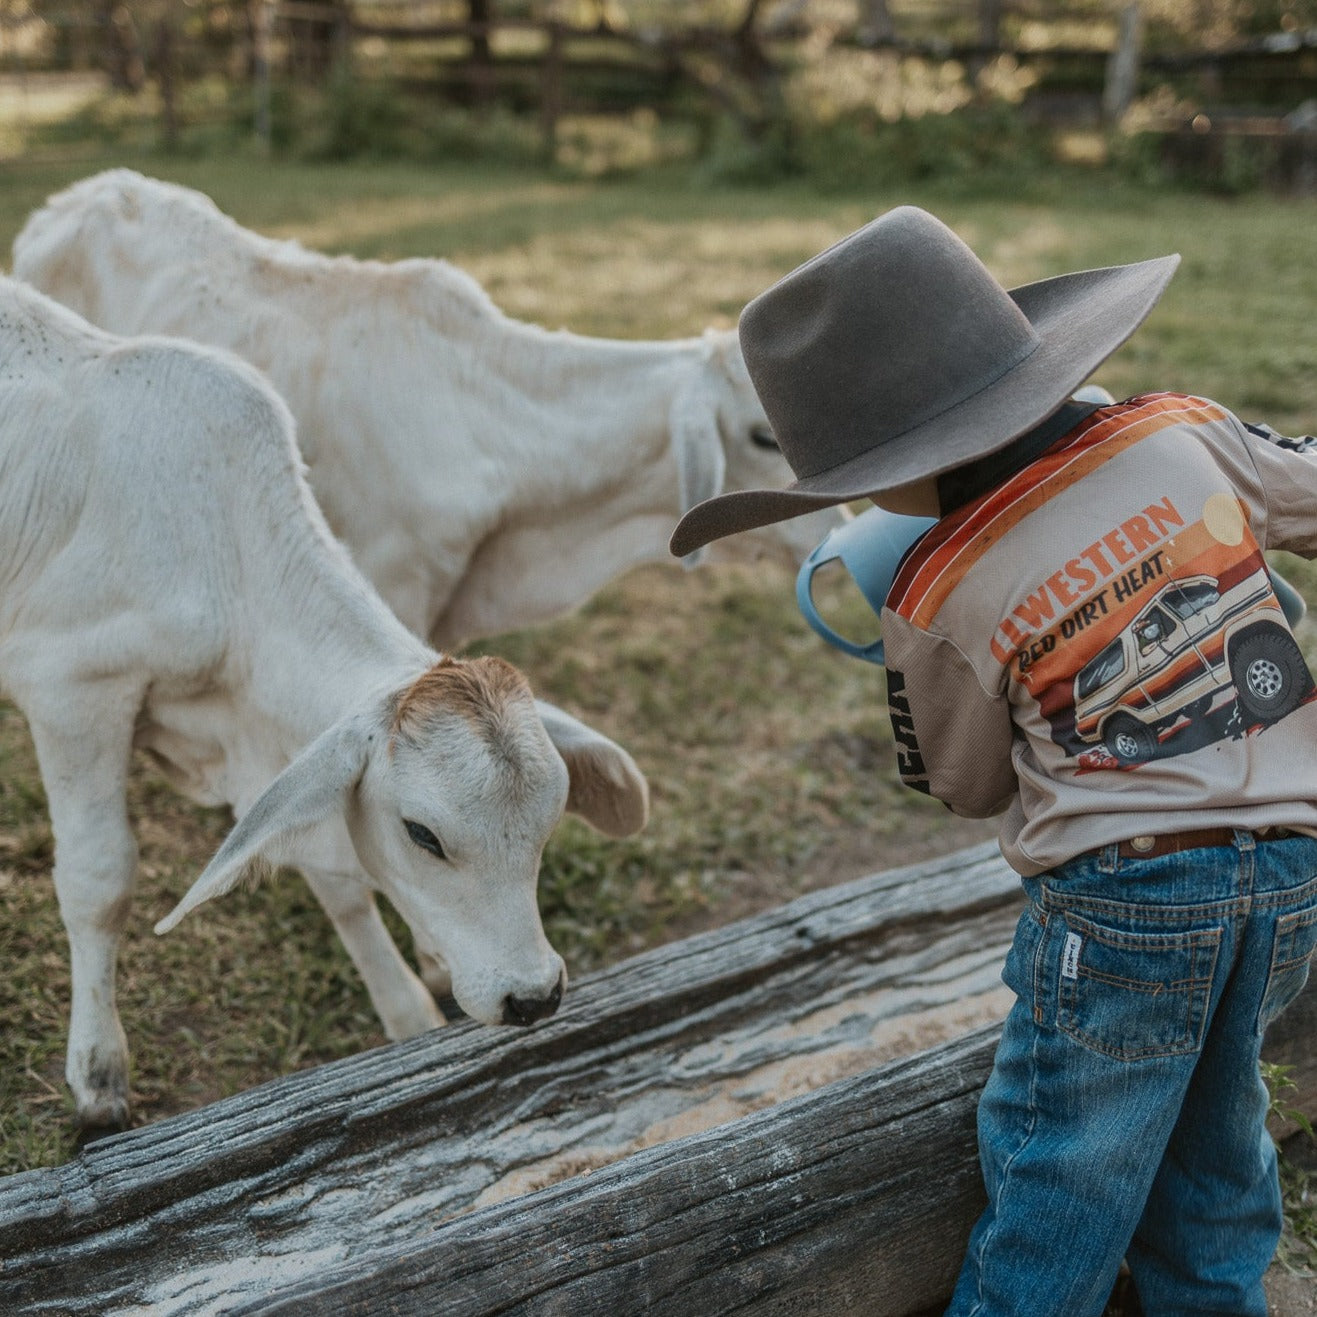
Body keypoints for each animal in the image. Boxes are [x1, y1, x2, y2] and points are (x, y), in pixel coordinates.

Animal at [0, 277, 647, 1132]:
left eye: (548, 824)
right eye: (423, 834)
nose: (533, 995)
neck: (224, 556)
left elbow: (331, 876)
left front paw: (406, 1006)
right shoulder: (74, 691)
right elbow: (98, 879)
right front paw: (98, 1074)